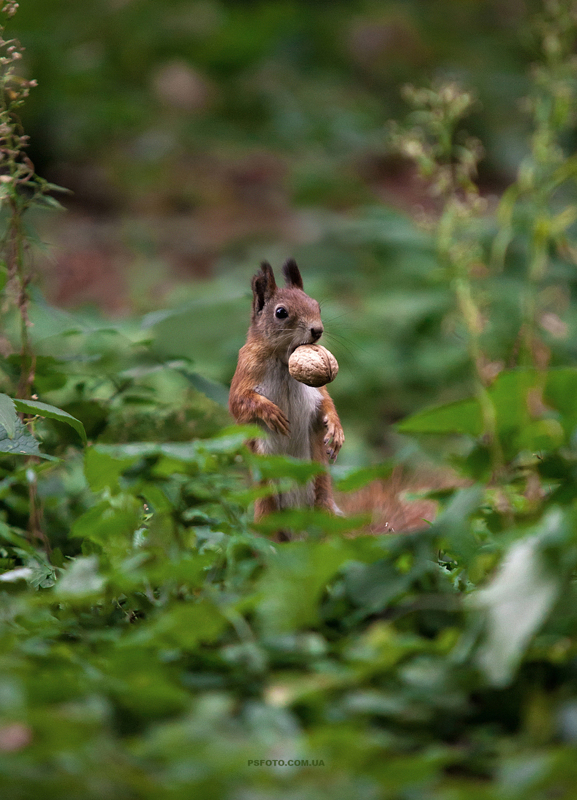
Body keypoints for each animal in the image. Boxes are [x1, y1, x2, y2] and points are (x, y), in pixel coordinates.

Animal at [228, 258, 344, 532]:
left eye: (316, 305)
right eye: (281, 312)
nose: (317, 330)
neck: (283, 359)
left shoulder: (316, 392)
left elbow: (327, 405)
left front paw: (336, 431)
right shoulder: (245, 372)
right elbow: (239, 402)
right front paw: (271, 412)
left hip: (323, 500)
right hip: (267, 506)